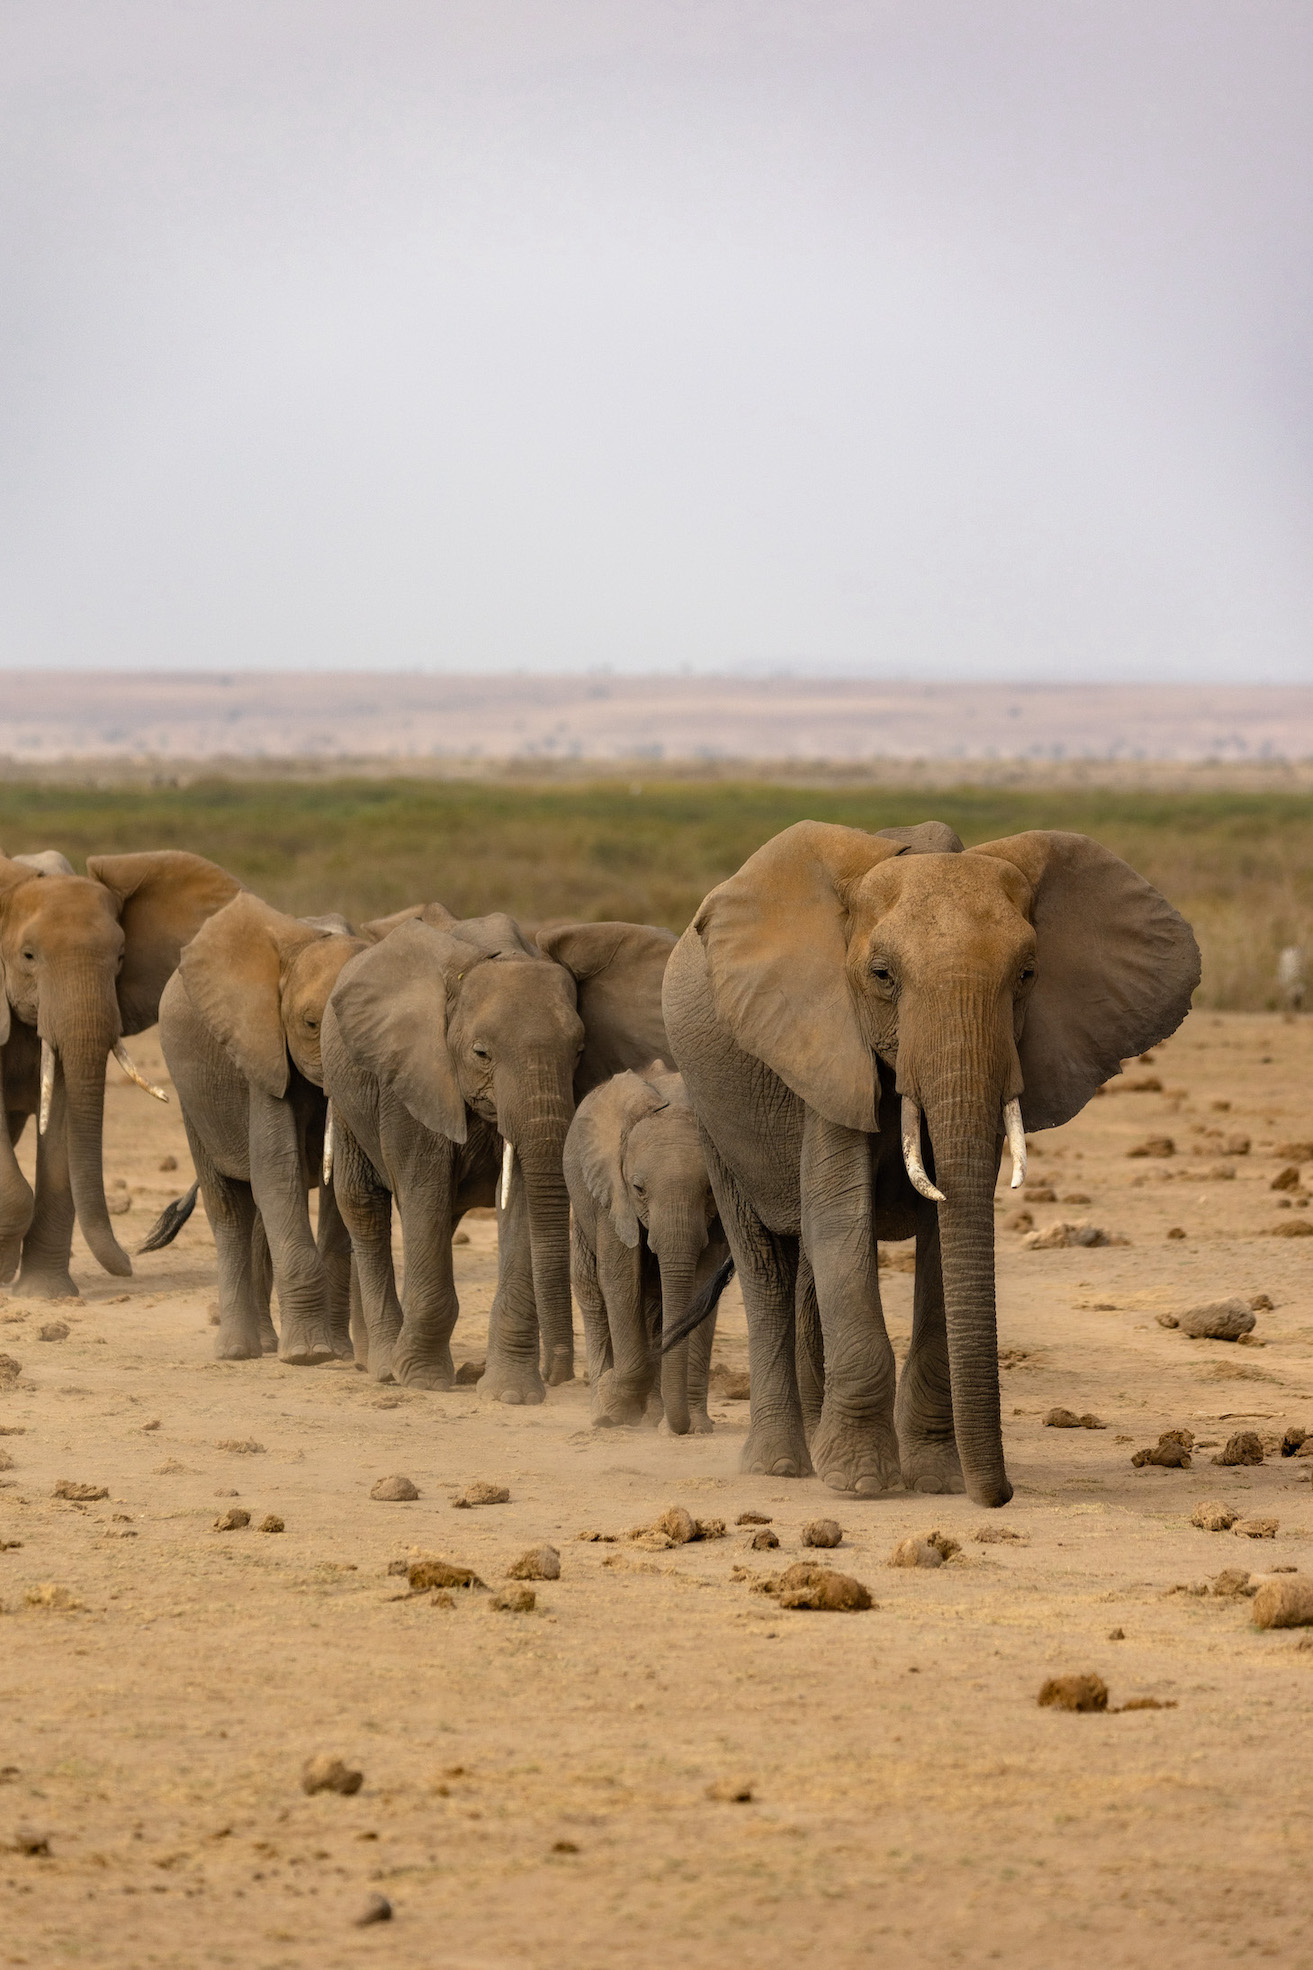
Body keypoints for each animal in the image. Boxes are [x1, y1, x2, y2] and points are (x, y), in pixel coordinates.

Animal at [157, 898, 362, 1371]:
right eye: (310, 1024)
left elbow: (333, 1190)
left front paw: (338, 1353)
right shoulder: (259, 1048)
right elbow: (276, 1169)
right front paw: (309, 1356)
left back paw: (268, 1345)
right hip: (193, 1100)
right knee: (231, 1208)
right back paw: (238, 1352)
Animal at [319, 910, 674, 1394]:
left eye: (579, 1051)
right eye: (481, 1053)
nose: (561, 1375)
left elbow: (520, 1200)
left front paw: (512, 1392)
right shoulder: (412, 1081)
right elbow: (424, 1189)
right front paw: (424, 1380)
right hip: (346, 1097)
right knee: (365, 1205)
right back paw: (385, 1366)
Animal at [563, 1063, 725, 1434]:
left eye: (710, 1191)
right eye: (638, 1188)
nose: (681, 1428)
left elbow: (703, 1284)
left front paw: (696, 1427)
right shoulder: (612, 1192)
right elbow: (620, 1278)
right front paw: (611, 1403)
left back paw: (652, 1416)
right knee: (592, 1293)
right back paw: (604, 1411)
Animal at [666, 815, 1198, 1505]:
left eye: (1027, 974)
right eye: (882, 975)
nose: (1001, 1495)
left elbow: (945, 1231)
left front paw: (939, 1480)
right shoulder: (825, 1041)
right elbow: (841, 1213)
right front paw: (862, 1484)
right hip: (712, 1109)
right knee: (767, 1264)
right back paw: (780, 1466)